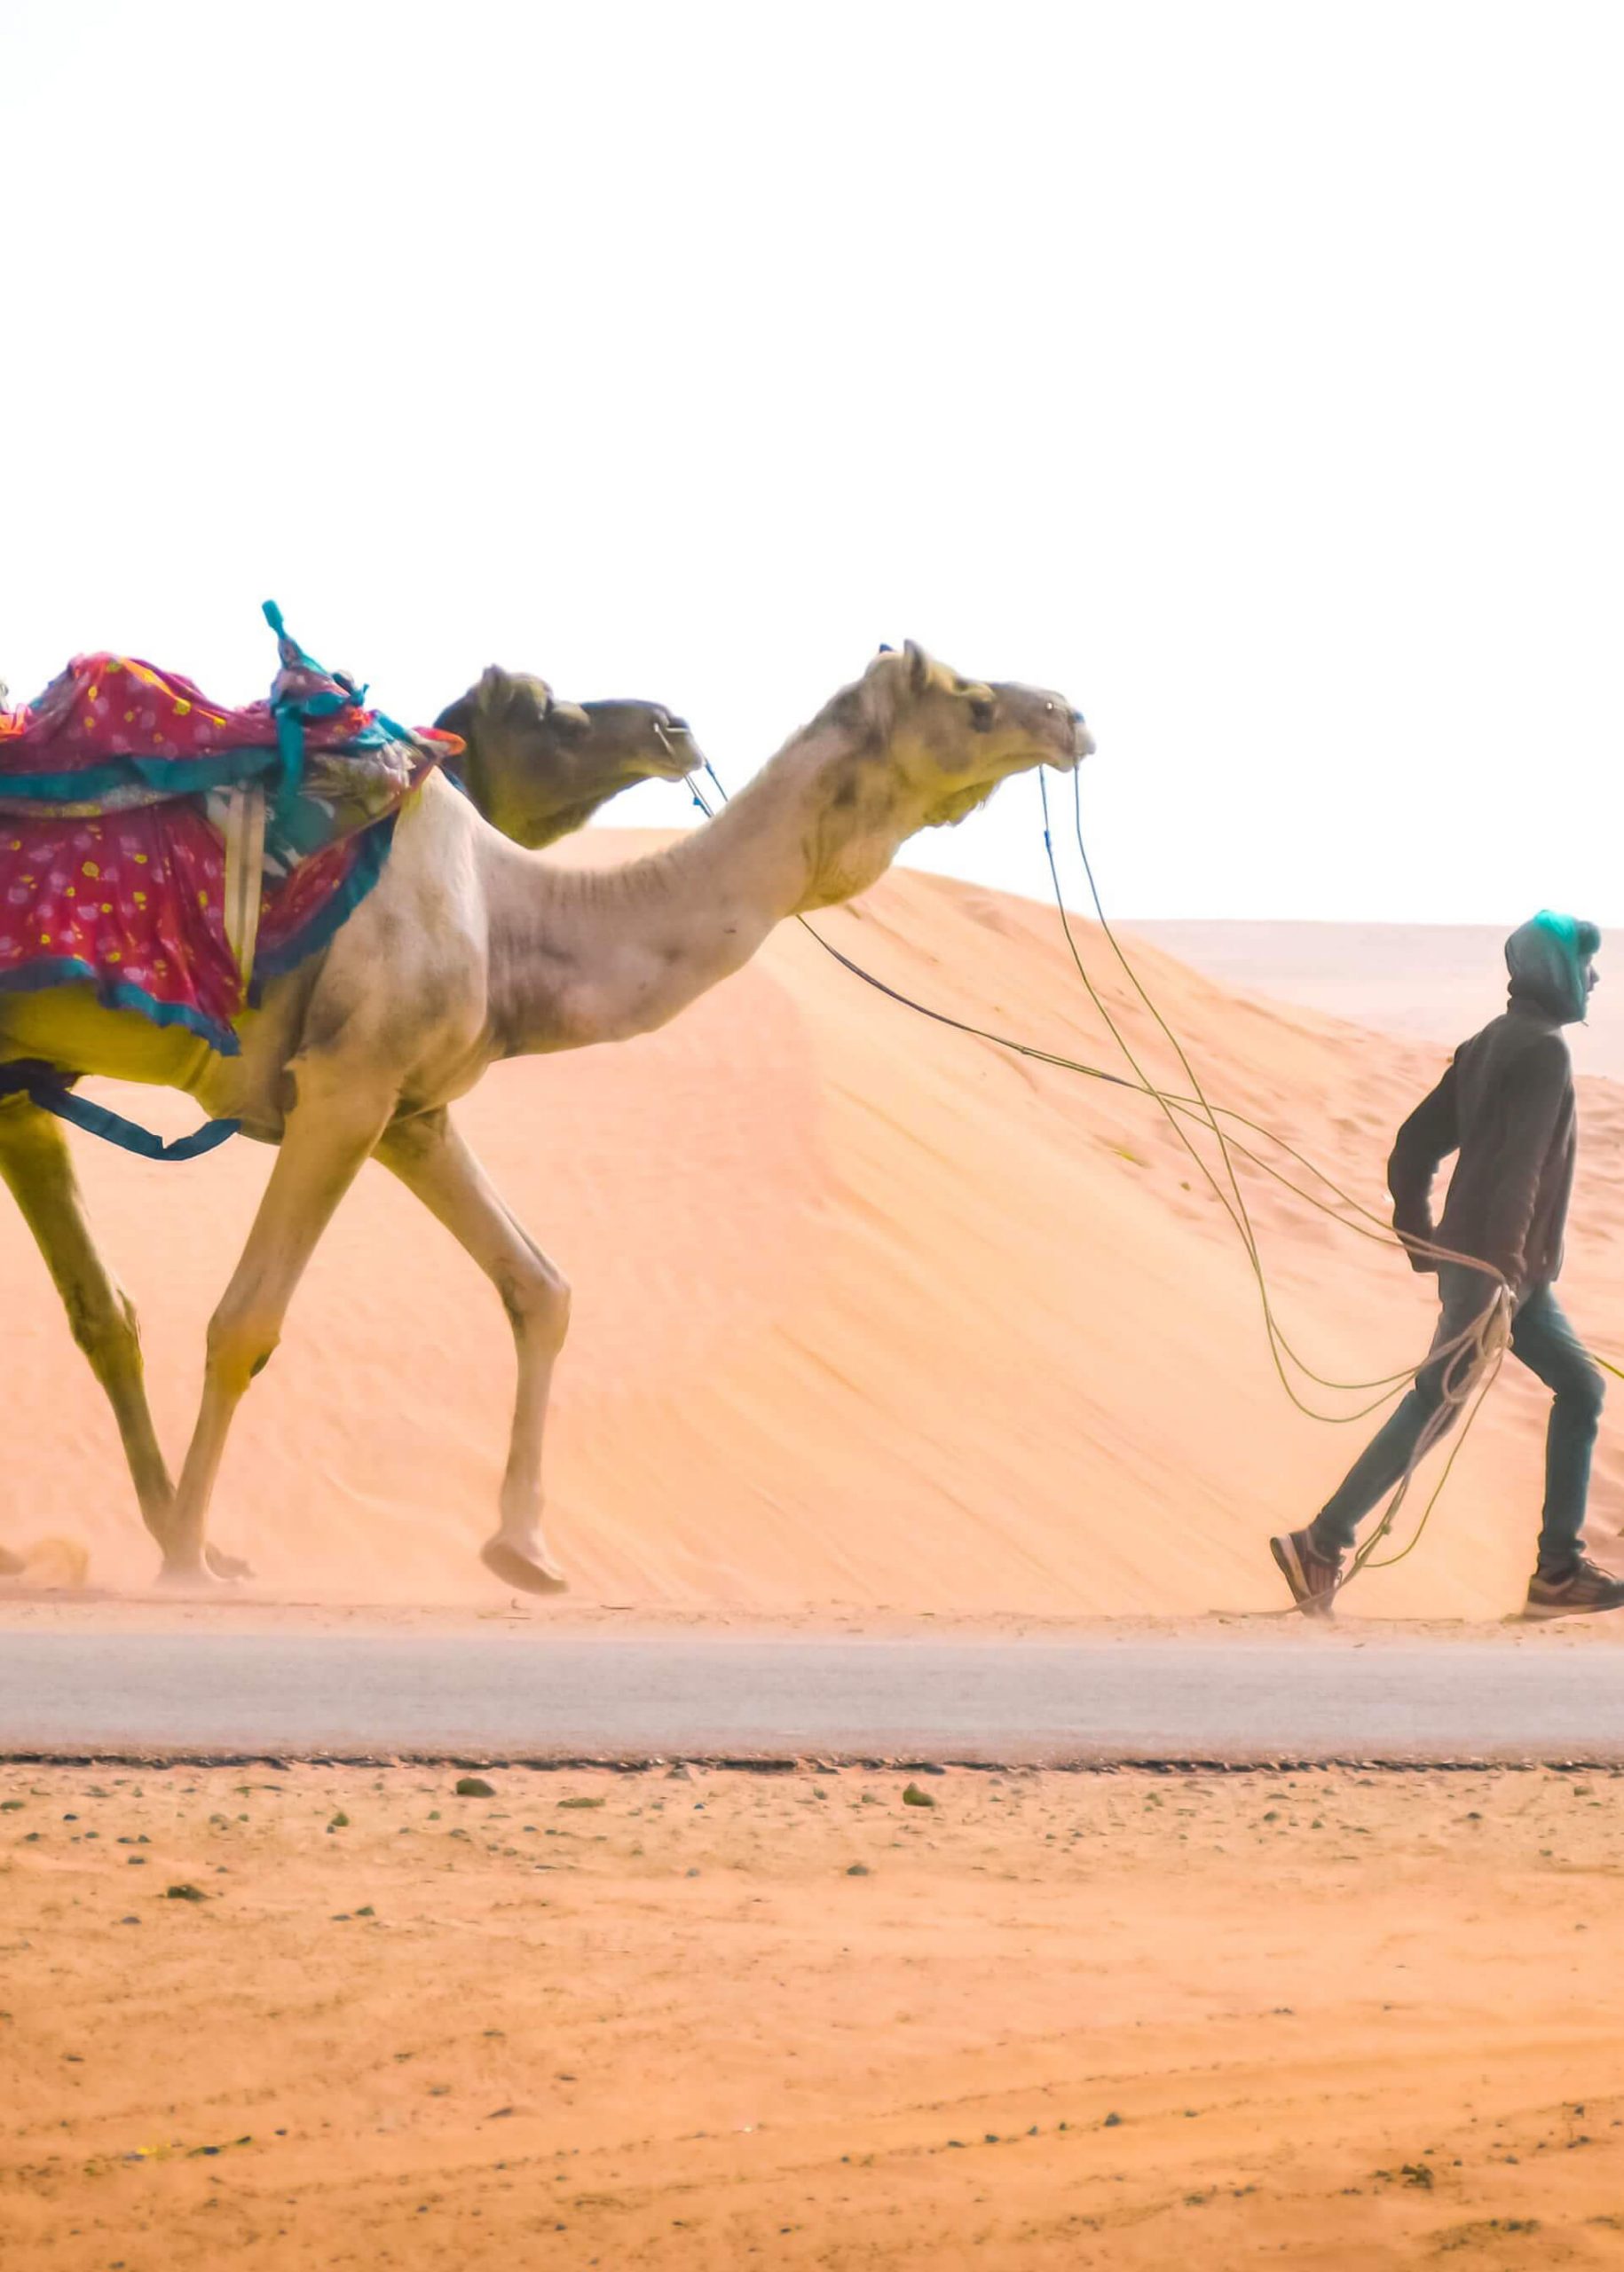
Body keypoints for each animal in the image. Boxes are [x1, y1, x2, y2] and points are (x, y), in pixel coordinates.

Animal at [3, 645, 1094, 1599]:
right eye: (973, 703)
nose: (1070, 716)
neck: (516, 915)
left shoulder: (411, 1111)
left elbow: (541, 1288)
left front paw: (524, 1548)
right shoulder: (348, 1081)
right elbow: (245, 1324)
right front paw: (190, 1556)